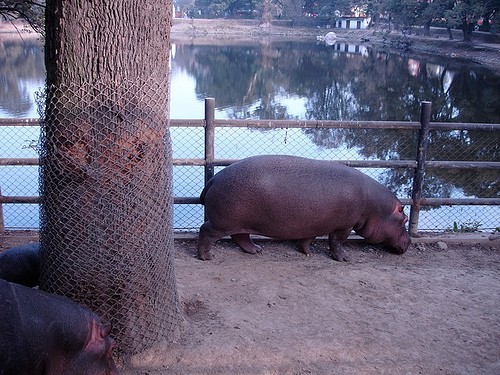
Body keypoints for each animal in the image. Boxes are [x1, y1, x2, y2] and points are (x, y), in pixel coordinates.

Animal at [197, 155, 412, 262]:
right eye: (405, 219)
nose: (409, 242)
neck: (375, 207)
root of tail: (213, 179)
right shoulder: (344, 226)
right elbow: (337, 242)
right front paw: (344, 259)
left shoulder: (315, 224)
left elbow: (308, 239)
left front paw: (307, 253)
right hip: (221, 222)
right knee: (205, 231)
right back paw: (207, 257)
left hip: (238, 221)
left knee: (241, 236)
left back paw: (256, 250)